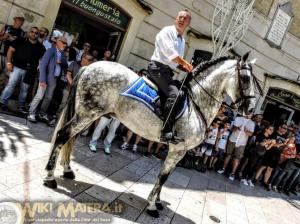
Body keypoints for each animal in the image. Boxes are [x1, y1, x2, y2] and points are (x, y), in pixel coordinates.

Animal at [42, 52, 260, 217]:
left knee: (70, 137)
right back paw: (50, 177)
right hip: (89, 112)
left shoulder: (179, 151)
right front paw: (153, 205)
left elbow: (166, 176)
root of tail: (90, 67)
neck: (197, 103)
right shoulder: (178, 148)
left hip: (86, 113)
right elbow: (163, 176)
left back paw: (67, 170)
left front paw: (158, 201)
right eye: (246, 78)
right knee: (63, 135)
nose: (249, 108)